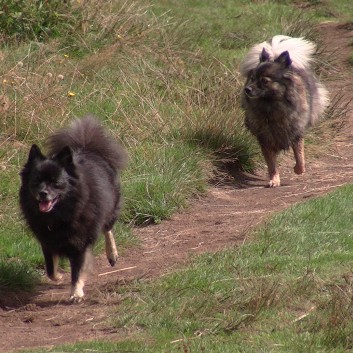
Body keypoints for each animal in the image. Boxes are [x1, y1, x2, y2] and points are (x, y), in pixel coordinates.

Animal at [18, 115, 126, 300]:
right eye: (36, 181)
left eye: (56, 183)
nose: (43, 193)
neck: (58, 216)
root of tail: (87, 148)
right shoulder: (47, 240)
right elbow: (50, 269)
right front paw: (59, 276)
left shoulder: (79, 242)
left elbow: (77, 270)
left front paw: (76, 293)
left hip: (110, 208)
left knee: (108, 229)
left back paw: (112, 254)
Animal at [239, 35, 328, 187]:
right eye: (252, 78)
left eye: (264, 81)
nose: (247, 89)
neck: (272, 106)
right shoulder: (266, 138)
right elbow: (271, 164)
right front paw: (274, 180)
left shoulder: (296, 133)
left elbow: (300, 158)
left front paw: (298, 170)